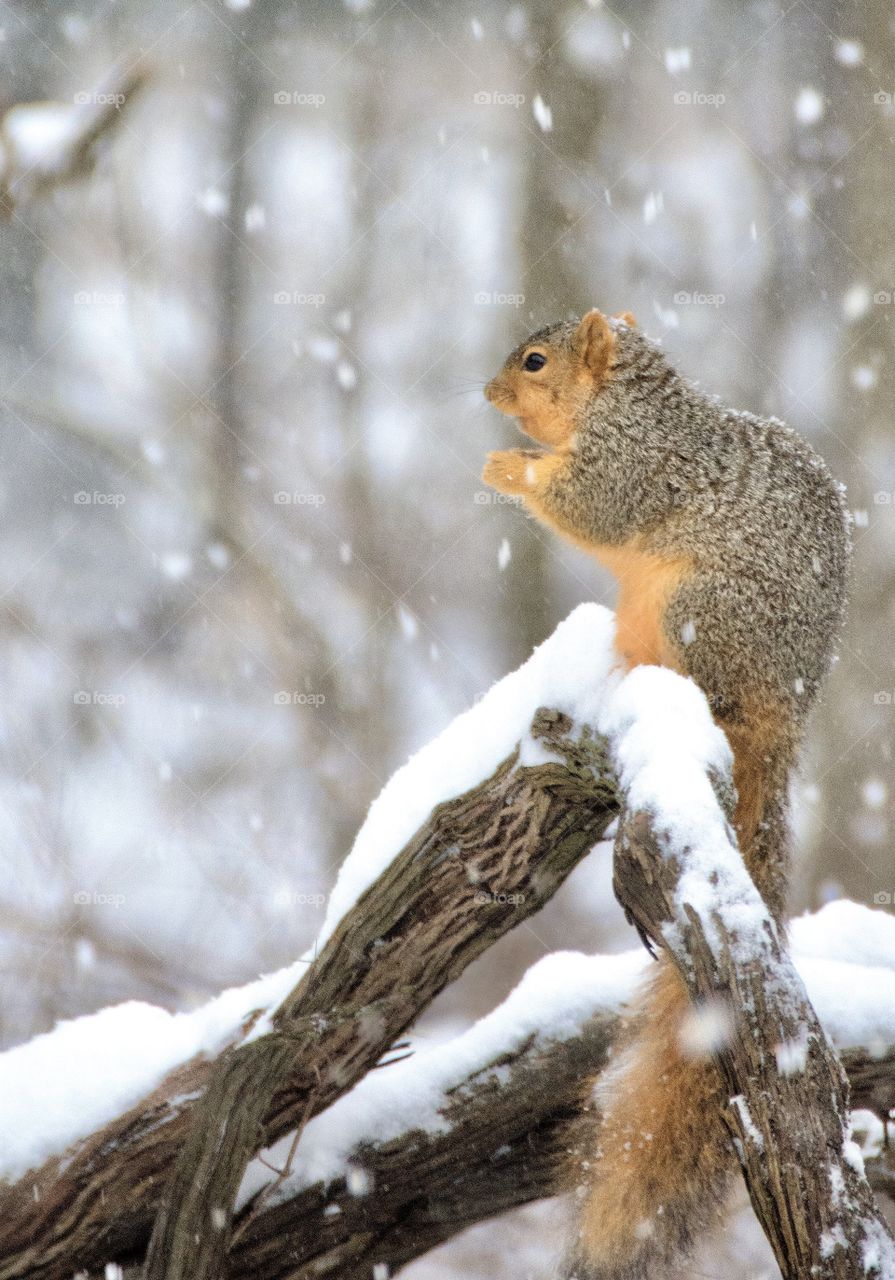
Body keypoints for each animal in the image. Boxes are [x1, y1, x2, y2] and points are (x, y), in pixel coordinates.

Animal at [478, 309, 850, 1280]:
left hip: (699, 609)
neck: (622, 401)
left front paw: (504, 468)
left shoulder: (634, 463)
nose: (488, 393)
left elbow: (587, 504)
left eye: (536, 361)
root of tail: (786, 714)